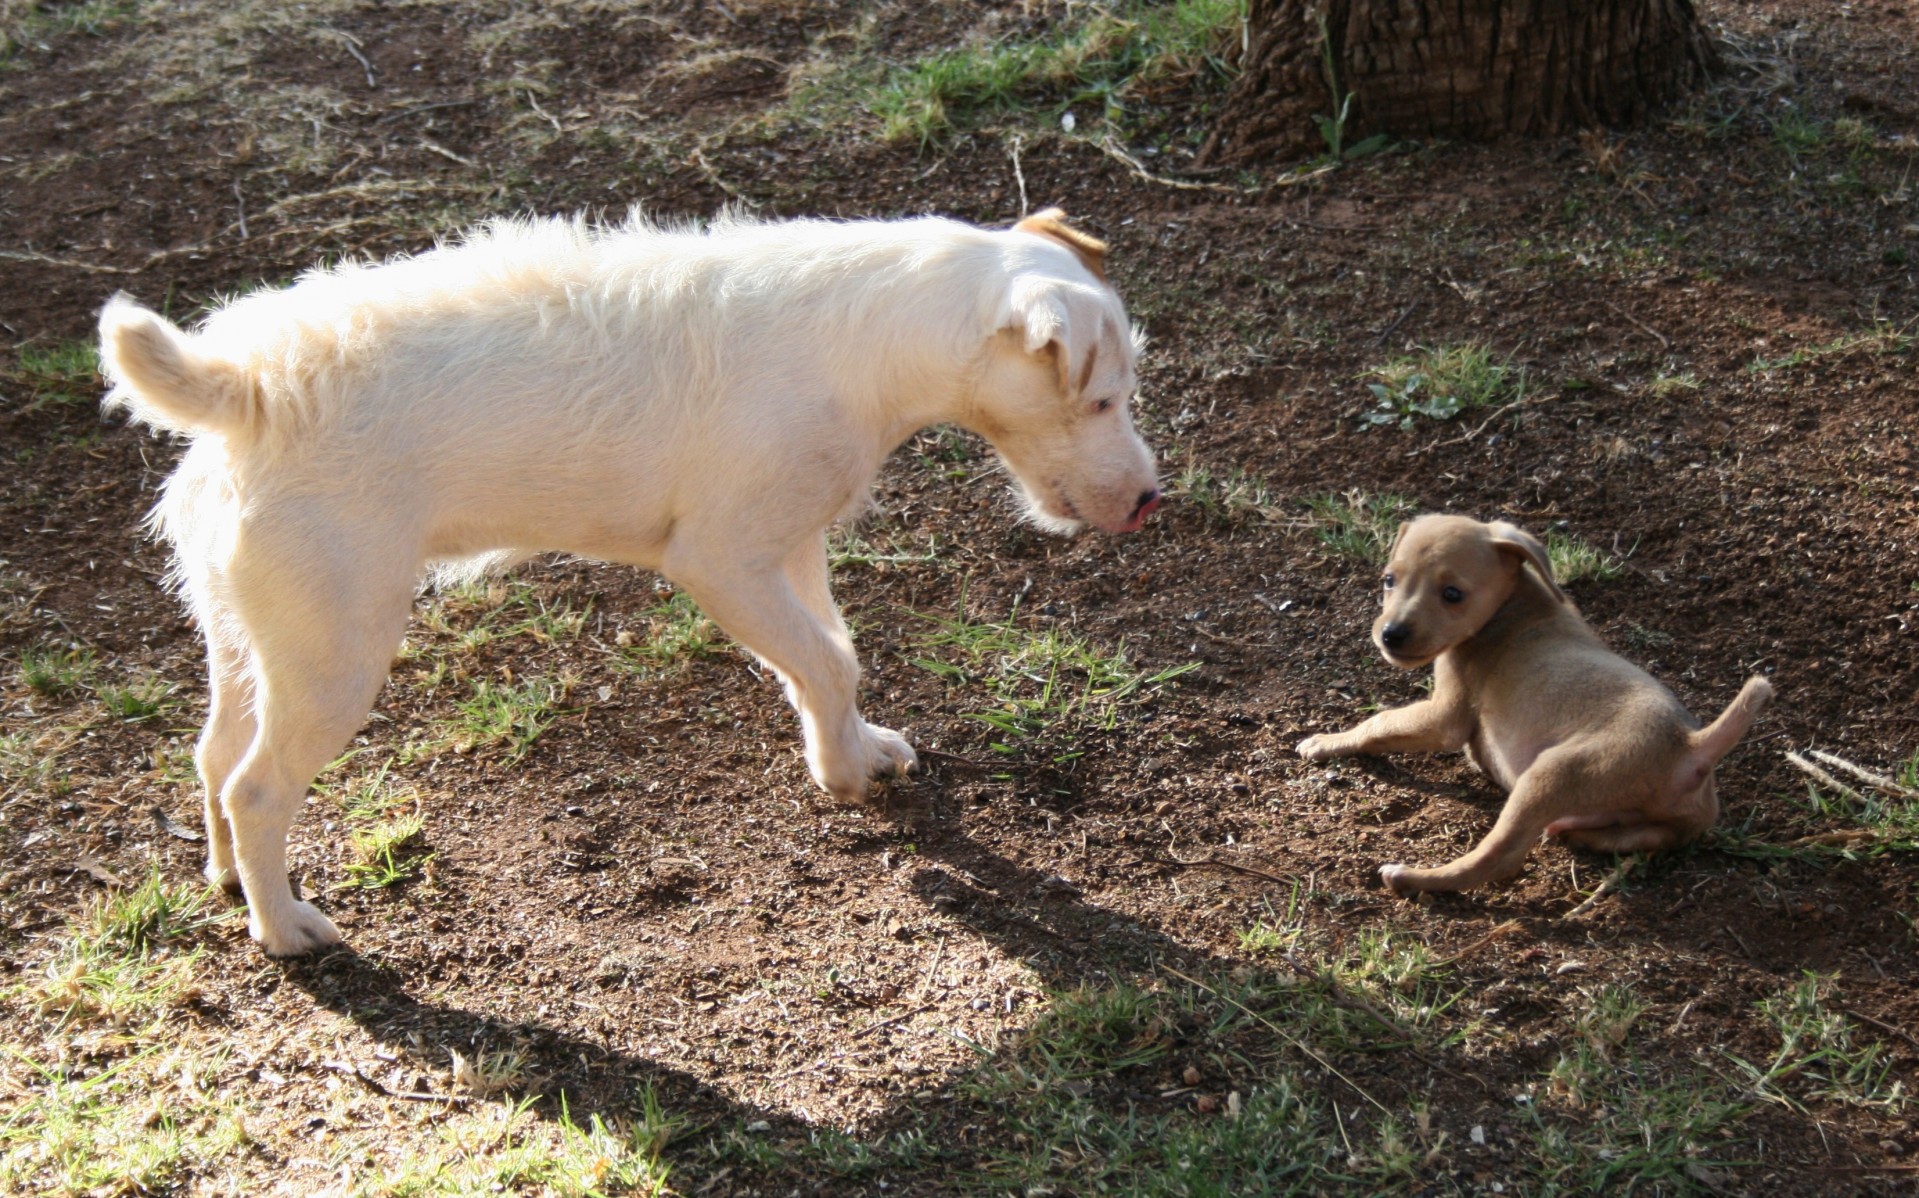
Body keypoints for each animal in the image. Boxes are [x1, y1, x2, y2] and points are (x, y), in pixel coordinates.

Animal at [105, 205, 1159, 956]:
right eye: (1101, 399)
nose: (1151, 502)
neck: (870, 335)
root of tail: (244, 393)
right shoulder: (723, 560)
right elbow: (826, 663)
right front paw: (841, 776)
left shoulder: (792, 548)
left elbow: (831, 656)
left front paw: (857, 750)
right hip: (335, 655)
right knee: (257, 787)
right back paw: (285, 929)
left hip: (252, 639)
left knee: (212, 757)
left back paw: (232, 881)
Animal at [1297, 510, 1773, 894]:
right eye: (1389, 580)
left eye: (1452, 594)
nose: (1390, 634)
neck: (1514, 606)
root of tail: (1691, 746)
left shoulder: (1444, 715)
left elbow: (1378, 723)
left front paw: (1325, 742)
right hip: (1657, 826)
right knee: (1635, 838)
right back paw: (1577, 836)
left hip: (1549, 776)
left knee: (1498, 858)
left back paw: (1416, 878)